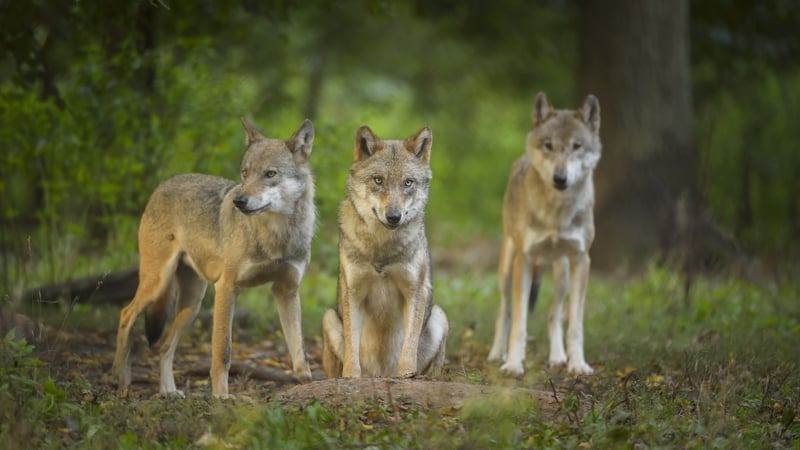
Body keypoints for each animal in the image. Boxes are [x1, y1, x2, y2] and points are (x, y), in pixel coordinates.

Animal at [111, 118, 316, 398]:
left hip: (192, 306)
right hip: (158, 284)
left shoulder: (286, 290)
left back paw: (168, 392)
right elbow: (223, 352)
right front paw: (221, 396)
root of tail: (162, 185)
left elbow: (300, 352)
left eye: (270, 174)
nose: (239, 201)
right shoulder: (227, 288)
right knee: (126, 314)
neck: (276, 236)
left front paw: (309, 386)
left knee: (164, 344)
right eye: (245, 173)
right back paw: (122, 382)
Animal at [321, 125, 449, 379]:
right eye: (378, 180)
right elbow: (352, 347)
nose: (393, 216)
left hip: (440, 316)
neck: (382, 246)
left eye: (408, 183)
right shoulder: (353, 291)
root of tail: (380, 374)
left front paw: (407, 375)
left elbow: (408, 345)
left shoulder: (415, 290)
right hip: (329, 318)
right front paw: (351, 376)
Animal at [487, 92, 601, 377]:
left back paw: (558, 357)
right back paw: (496, 354)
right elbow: (519, 323)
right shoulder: (524, 260)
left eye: (576, 146)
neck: (555, 214)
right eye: (549, 145)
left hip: (562, 274)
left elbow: (575, 325)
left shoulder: (582, 260)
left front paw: (577, 364)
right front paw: (513, 365)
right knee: (504, 311)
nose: (560, 178)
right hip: (507, 269)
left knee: (554, 315)